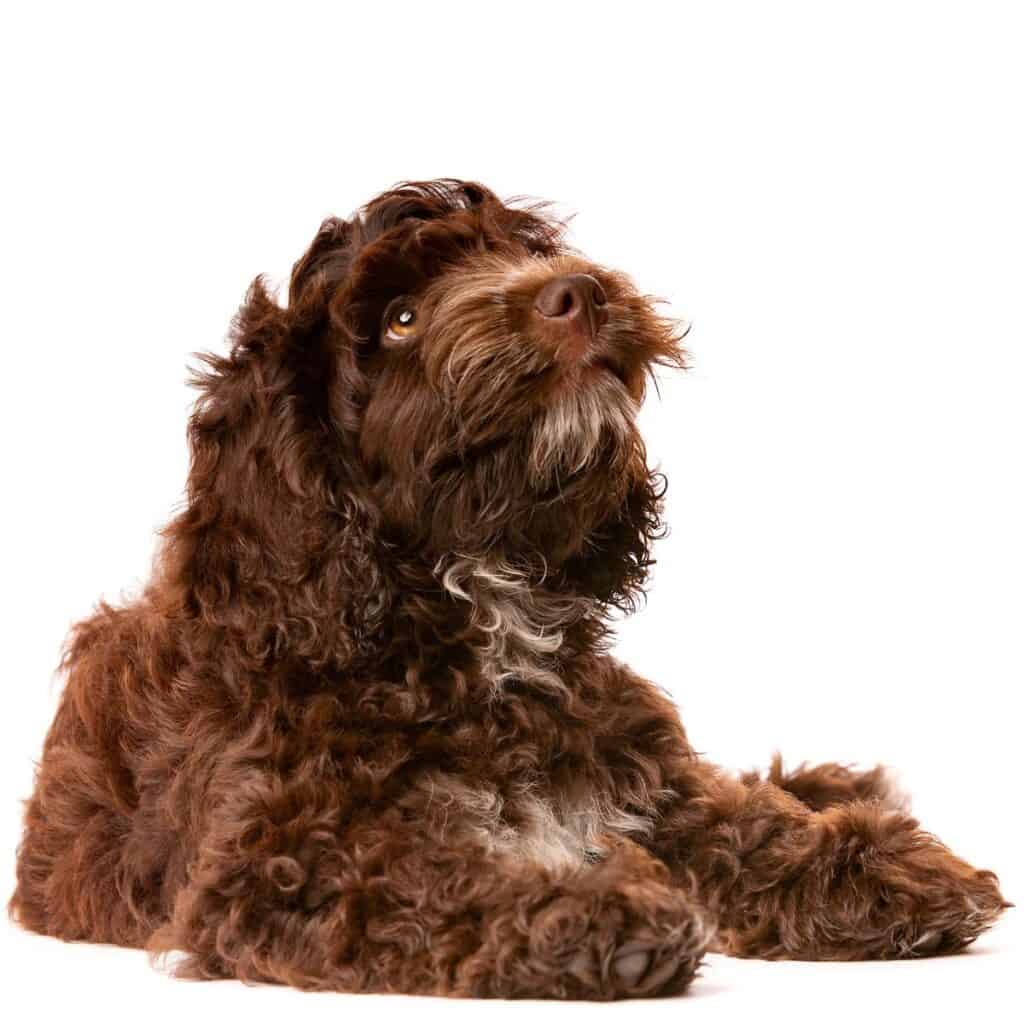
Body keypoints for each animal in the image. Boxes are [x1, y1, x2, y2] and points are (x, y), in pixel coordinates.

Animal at [12, 180, 1003, 995]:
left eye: (522, 252)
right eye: (400, 317)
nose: (580, 292)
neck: (483, 608)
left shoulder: (649, 784)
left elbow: (746, 823)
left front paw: (885, 871)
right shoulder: (278, 863)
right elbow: (421, 880)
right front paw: (596, 912)